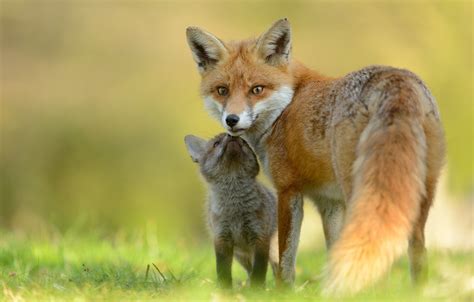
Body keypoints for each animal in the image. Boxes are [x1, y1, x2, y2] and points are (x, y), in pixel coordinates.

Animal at [184, 17, 444, 294]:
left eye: (257, 89)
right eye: (222, 90)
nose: (231, 120)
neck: (286, 107)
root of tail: (396, 79)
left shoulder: (288, 190)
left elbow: (286, 256)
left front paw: (282, 293)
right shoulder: (329, 202)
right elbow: (335, 250)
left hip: (360, 190)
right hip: (418, 194)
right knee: (417, 251)